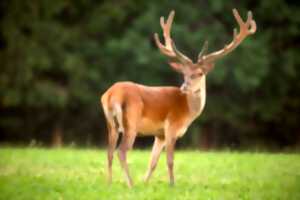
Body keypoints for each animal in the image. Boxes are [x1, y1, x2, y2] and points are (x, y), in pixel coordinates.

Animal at [101, 9, 255, 188]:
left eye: (199, 73)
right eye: (184, 73)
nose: (184, 87)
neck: (188, 110)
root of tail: (112, 94)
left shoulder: (159, 134)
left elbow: (153, 162)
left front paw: (145, 183)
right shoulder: (172, 127)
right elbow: (170, 160)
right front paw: (172, 185)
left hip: (111, 123)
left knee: (109, 152)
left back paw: (109, 184)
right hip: (131, 122)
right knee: (121, 151)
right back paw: (130, 185)